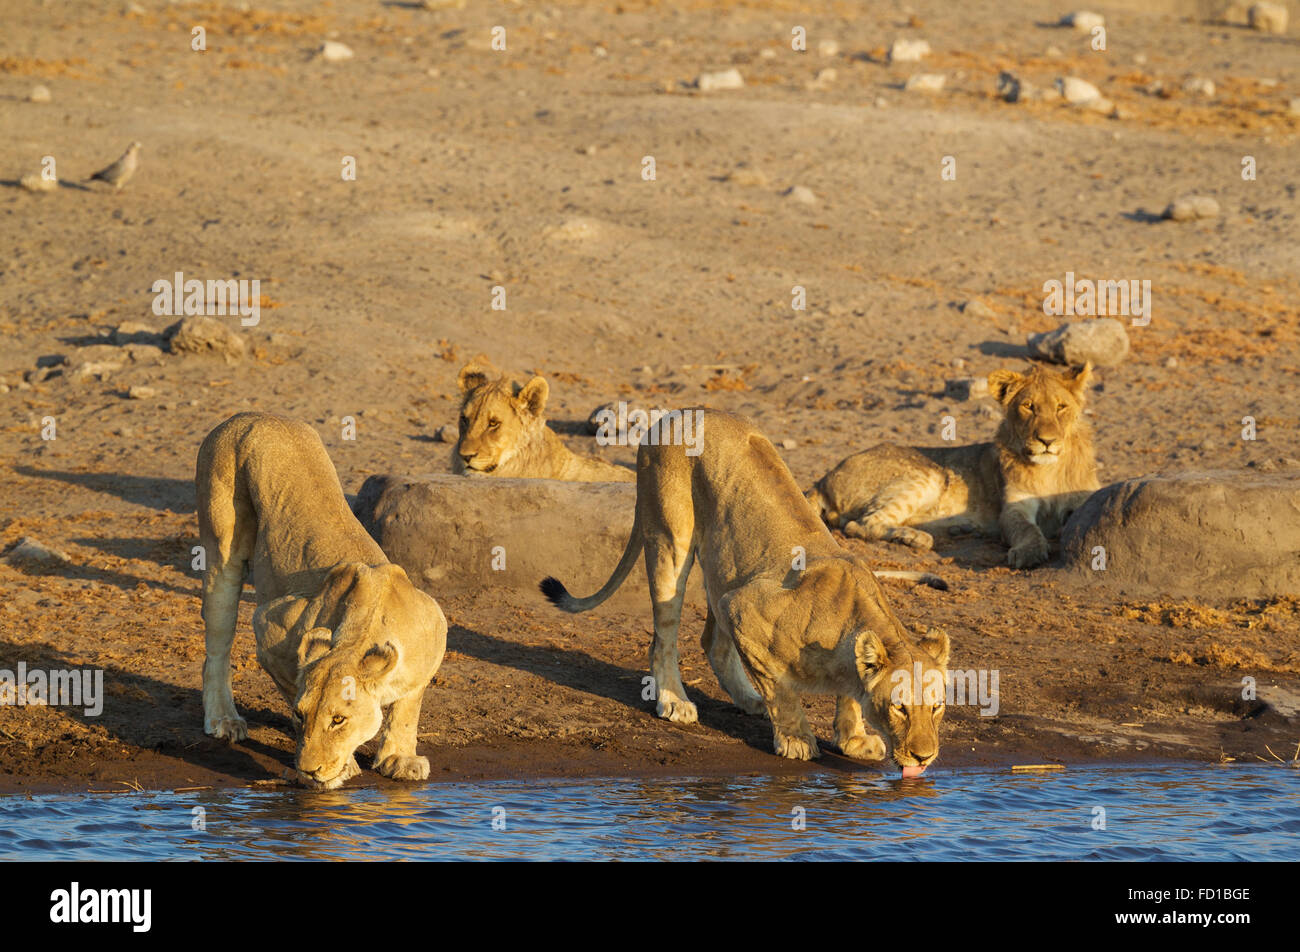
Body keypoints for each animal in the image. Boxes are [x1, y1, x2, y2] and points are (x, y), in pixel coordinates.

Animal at [196, 413, 447, 790]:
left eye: (339, 719)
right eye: (302, 715)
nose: (308, 769)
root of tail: (250, 416)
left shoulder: (434, 627)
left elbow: (408, 706)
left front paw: (399, 758)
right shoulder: (269, 626)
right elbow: (292, 682)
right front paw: (342, 768)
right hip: (222, 544)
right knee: (218, 644)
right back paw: (224, 719)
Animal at [538, 408, 946, 775]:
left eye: (937, 707)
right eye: (900, 708)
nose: (924, 757)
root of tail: (675, 414)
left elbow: (849, 696)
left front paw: (853, 739)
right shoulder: (744, 610)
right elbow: (782, 691)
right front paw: (796, 740)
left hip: (725, 568)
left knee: (712, 642)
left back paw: (749, 700)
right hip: (672, 540)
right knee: (664, 638)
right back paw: (675, 701)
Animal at [806, 361, 1102, 564]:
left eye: (1061, 407)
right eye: (1028, 406)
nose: (1046, 441)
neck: (1051, 469)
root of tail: (822, 479)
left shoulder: (1084, 499)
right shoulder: (1014, 506)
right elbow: (1026, 528)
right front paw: (1029, 553)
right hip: (928, 476)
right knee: (860, 524)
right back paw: (916, 538)